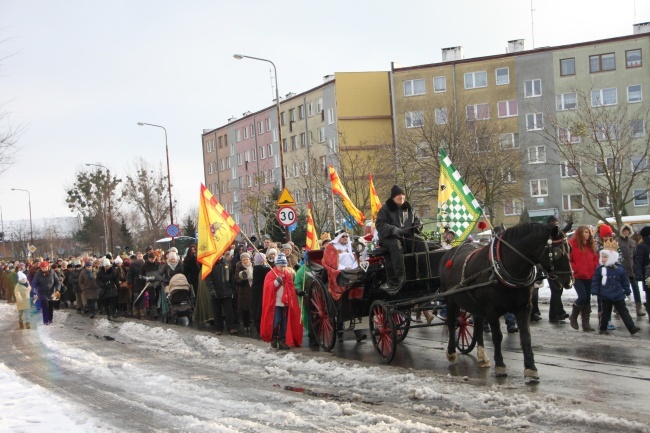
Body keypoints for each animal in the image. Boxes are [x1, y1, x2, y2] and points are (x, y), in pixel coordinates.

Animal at [438, 223, 568, 378]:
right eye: (558, 252)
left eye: (570, 249)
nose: (570, 281)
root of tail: (448, 253)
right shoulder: (492, 310)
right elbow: (497, 337)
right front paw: (500, 365)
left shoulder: (524, 307)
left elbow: (526, 337)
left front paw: (531, 367)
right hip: (451, 300)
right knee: (452, 322)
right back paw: (452, 353)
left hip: (476, 305)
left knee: (478, 326)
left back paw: (482, 357)